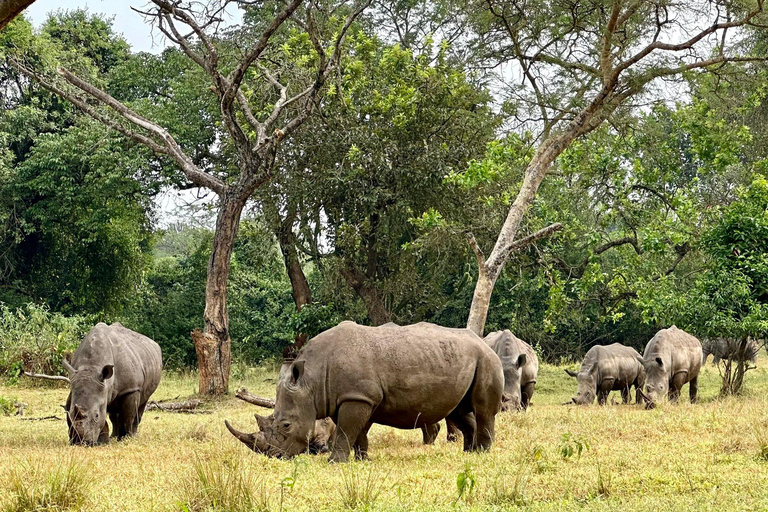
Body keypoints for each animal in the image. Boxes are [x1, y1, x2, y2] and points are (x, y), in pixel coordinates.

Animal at [225, 321, 503, 462]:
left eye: (285, 425)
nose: (274, 456)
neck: (311, 379)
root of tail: (482, 341)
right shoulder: (347, 397)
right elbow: (354, 431)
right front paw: (361, 459)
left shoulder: (357, 397)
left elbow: (346, 431)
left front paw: (335, 462)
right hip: (464, 360)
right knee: (457, 409)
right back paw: (469, 453)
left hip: (487, 359)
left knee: (482, 409)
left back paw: (482, 454)